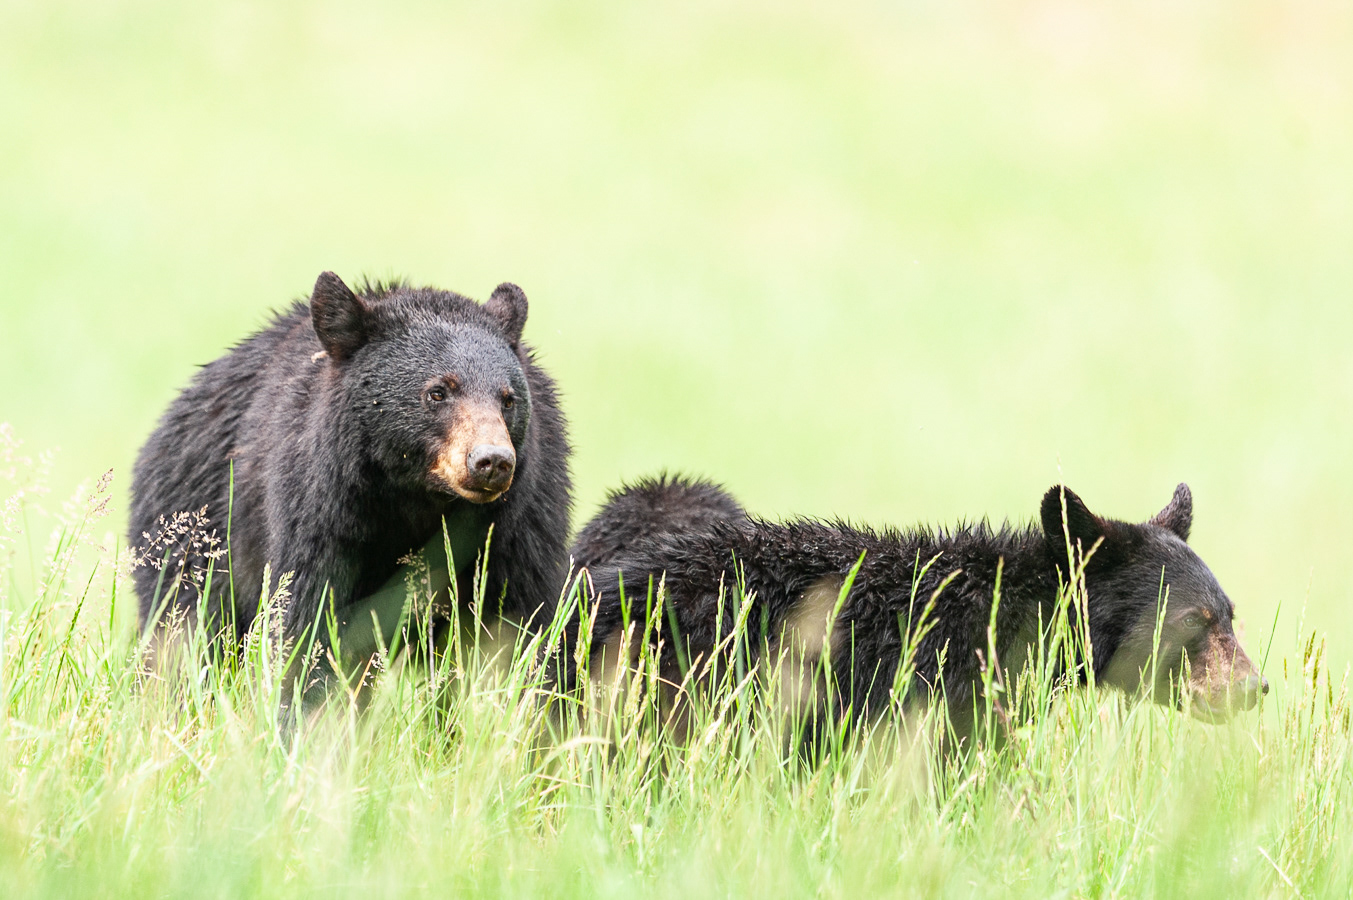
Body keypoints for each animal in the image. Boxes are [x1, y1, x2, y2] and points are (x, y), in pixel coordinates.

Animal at [129, 271, 572, 689]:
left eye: (508, 399)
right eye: (437, 392)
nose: (491, 461)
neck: (417, 495)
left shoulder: (519, 528)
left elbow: (516, 624)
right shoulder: (318, 508)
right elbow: (308, 622)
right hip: (192, 538)